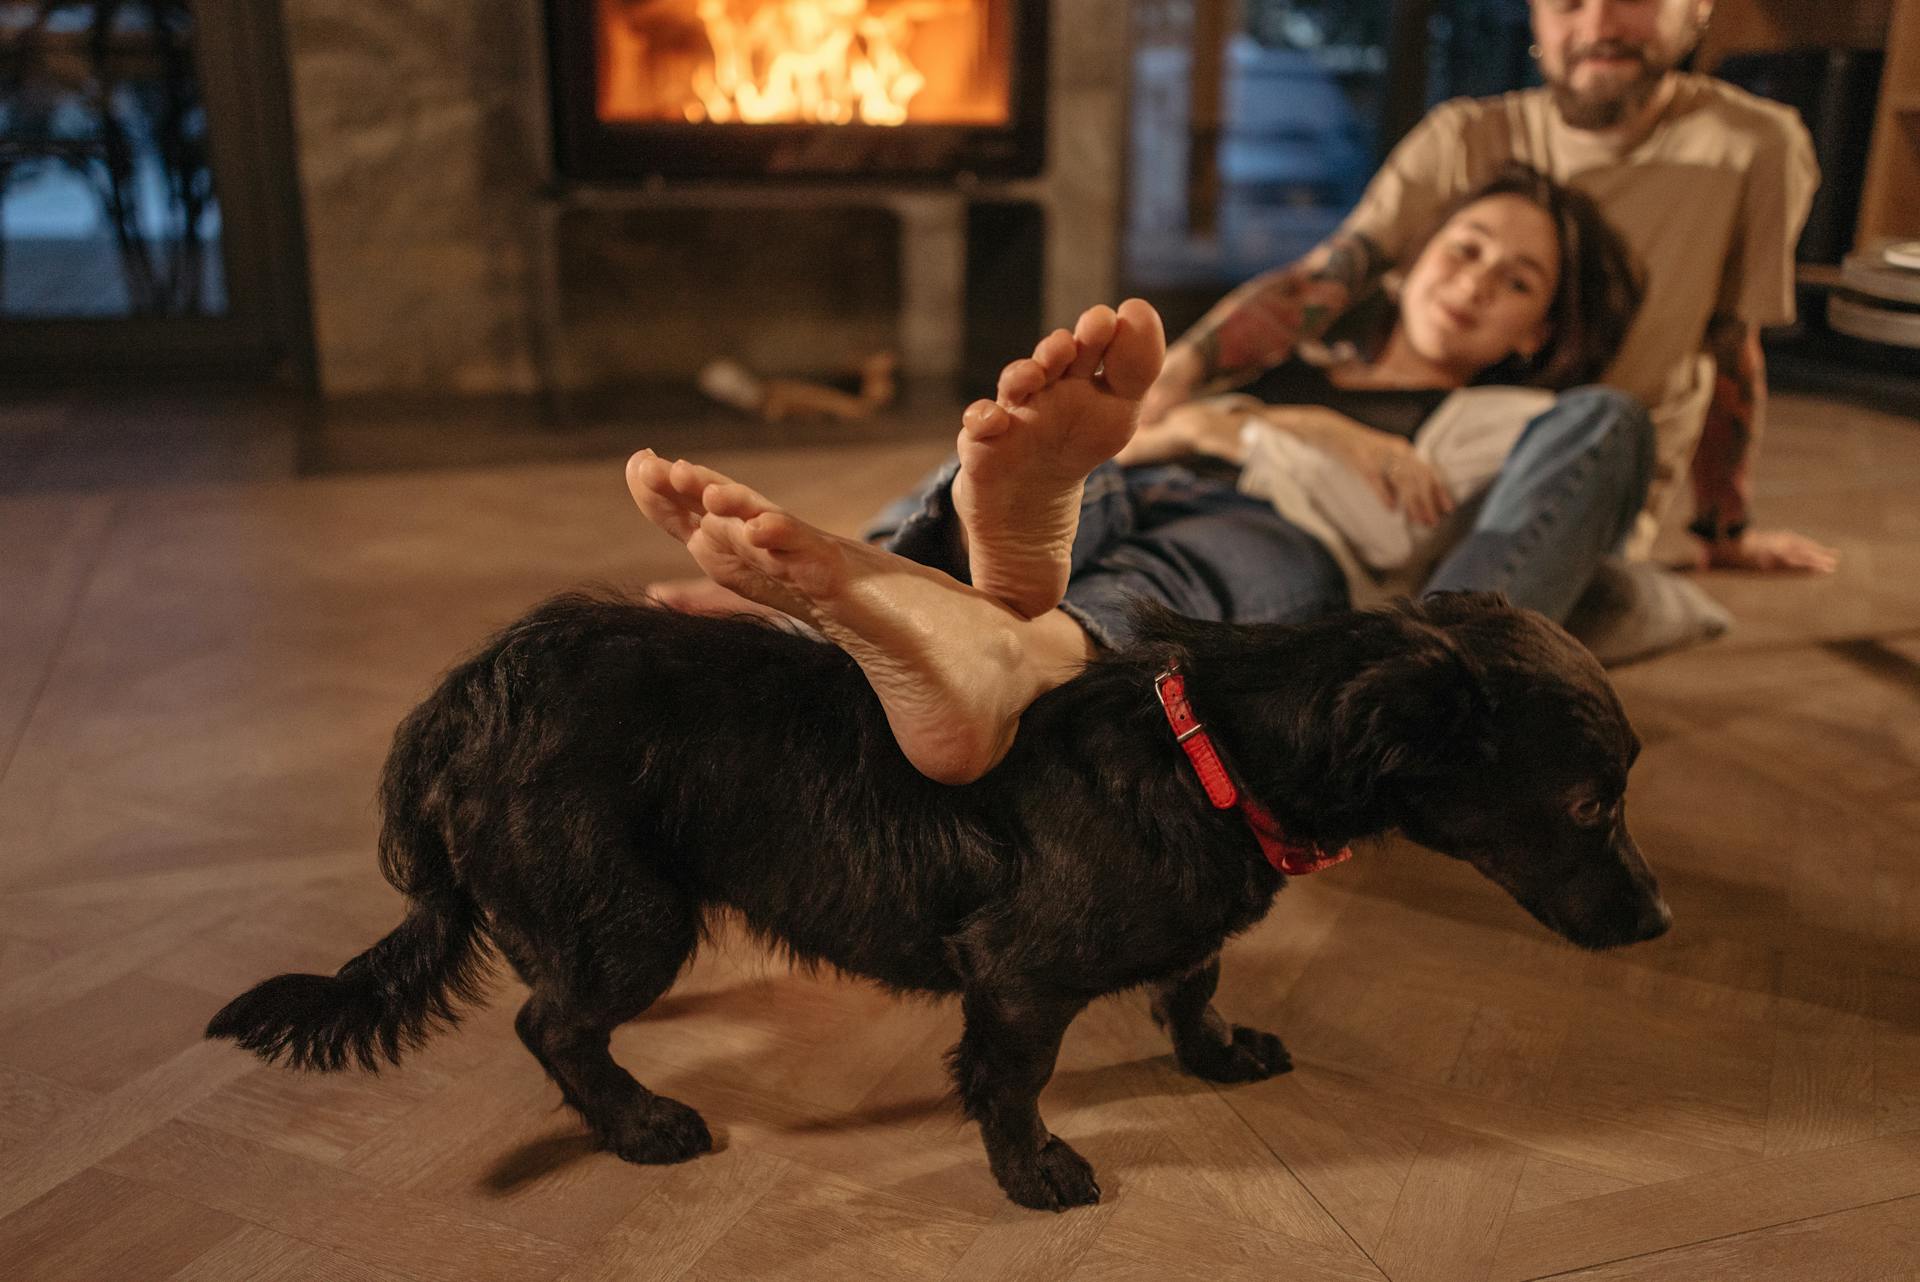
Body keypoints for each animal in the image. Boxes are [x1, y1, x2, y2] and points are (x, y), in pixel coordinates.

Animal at [206, 591, 1666, 1212]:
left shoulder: (1171, 939)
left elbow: (1195, 978)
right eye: (1590, 803)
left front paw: (1219, 1054)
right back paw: (642, 1125)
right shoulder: (1016, 976)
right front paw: (1037, 1173)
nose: (1659, 925)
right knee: (549, 1023)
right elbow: (1014, 1080)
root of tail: (461, 702)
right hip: (630, 919)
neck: (1208, 747)